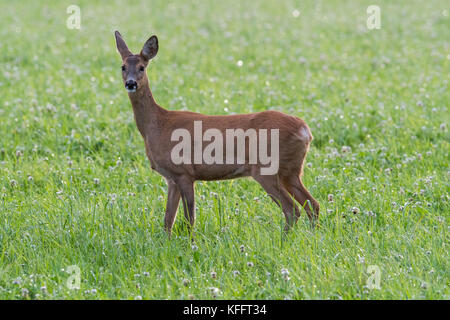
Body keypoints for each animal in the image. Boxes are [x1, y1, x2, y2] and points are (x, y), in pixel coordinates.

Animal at [115, 30, 320, 235]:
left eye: (142, 67)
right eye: (123, 66)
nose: (131, 83)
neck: (157, 125)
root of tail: (305, 130)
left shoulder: (184, 172)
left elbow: (189, 219)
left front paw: (190, 241)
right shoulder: (171, 178)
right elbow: (168, 221)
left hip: (266, 168)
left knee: (292, 209)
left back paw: (284, 239)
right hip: (291, 170)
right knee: (313, 204)